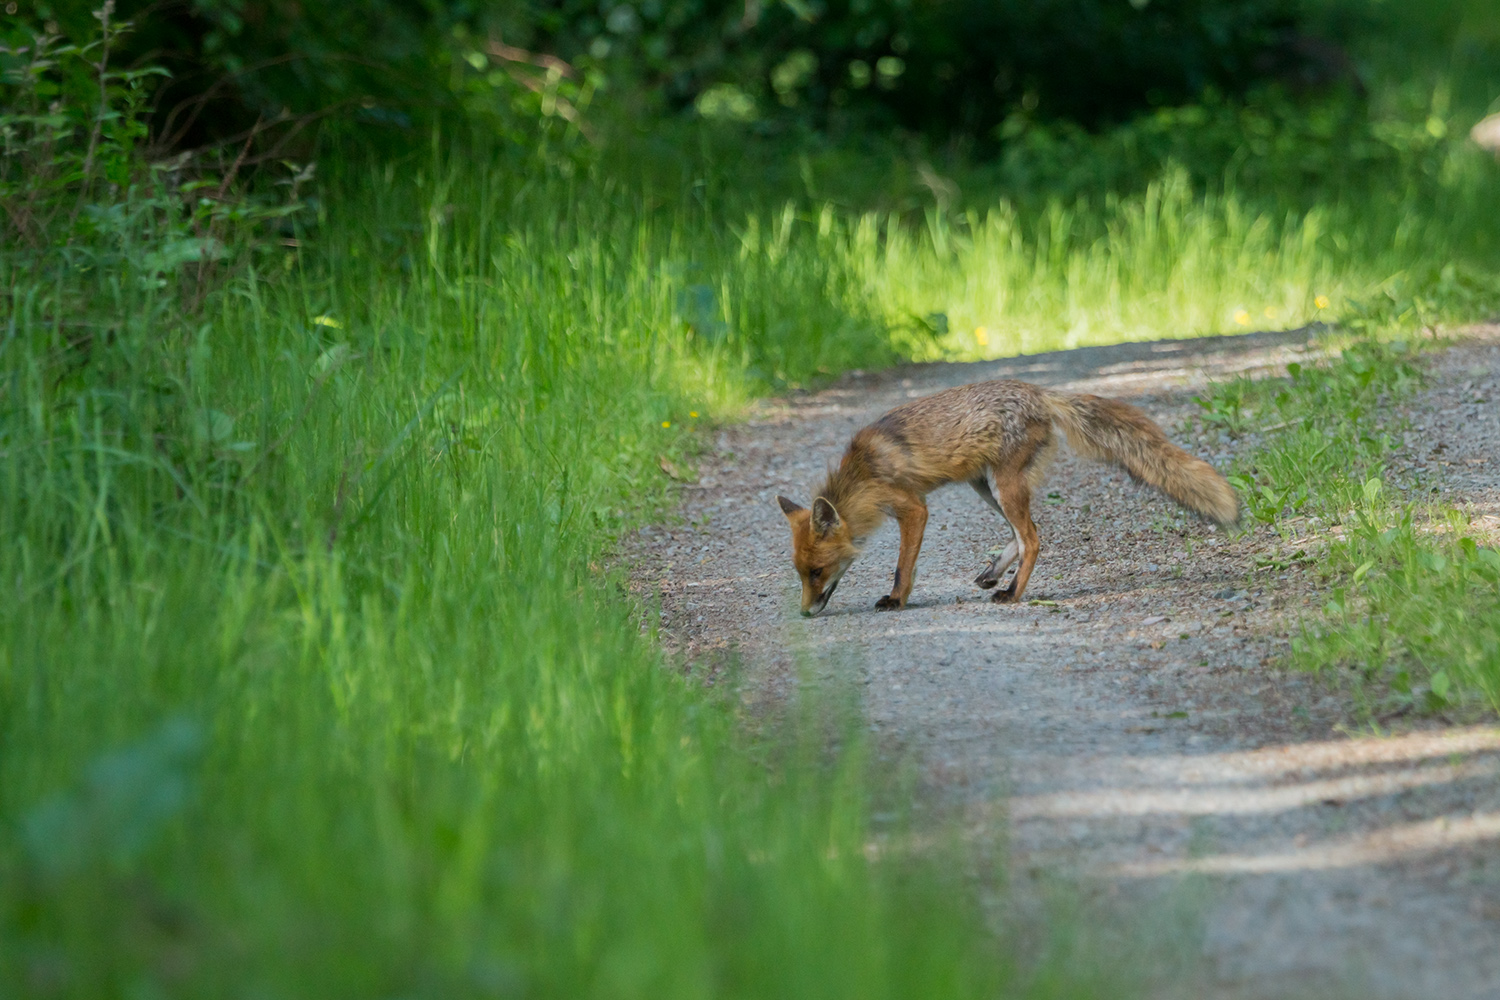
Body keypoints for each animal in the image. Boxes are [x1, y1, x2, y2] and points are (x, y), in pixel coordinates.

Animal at [780, 380, 1236, 617]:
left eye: (818, 571)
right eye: (801, 573)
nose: (804, 612)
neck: (863, 473)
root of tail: (1040, 391)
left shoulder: (913, 508)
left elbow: (902, 567)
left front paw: (896, 600)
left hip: (1003, 485)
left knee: (1032, 538)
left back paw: (1012, 592)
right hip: (985, 487)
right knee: (1024, 533)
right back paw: (994, 574)